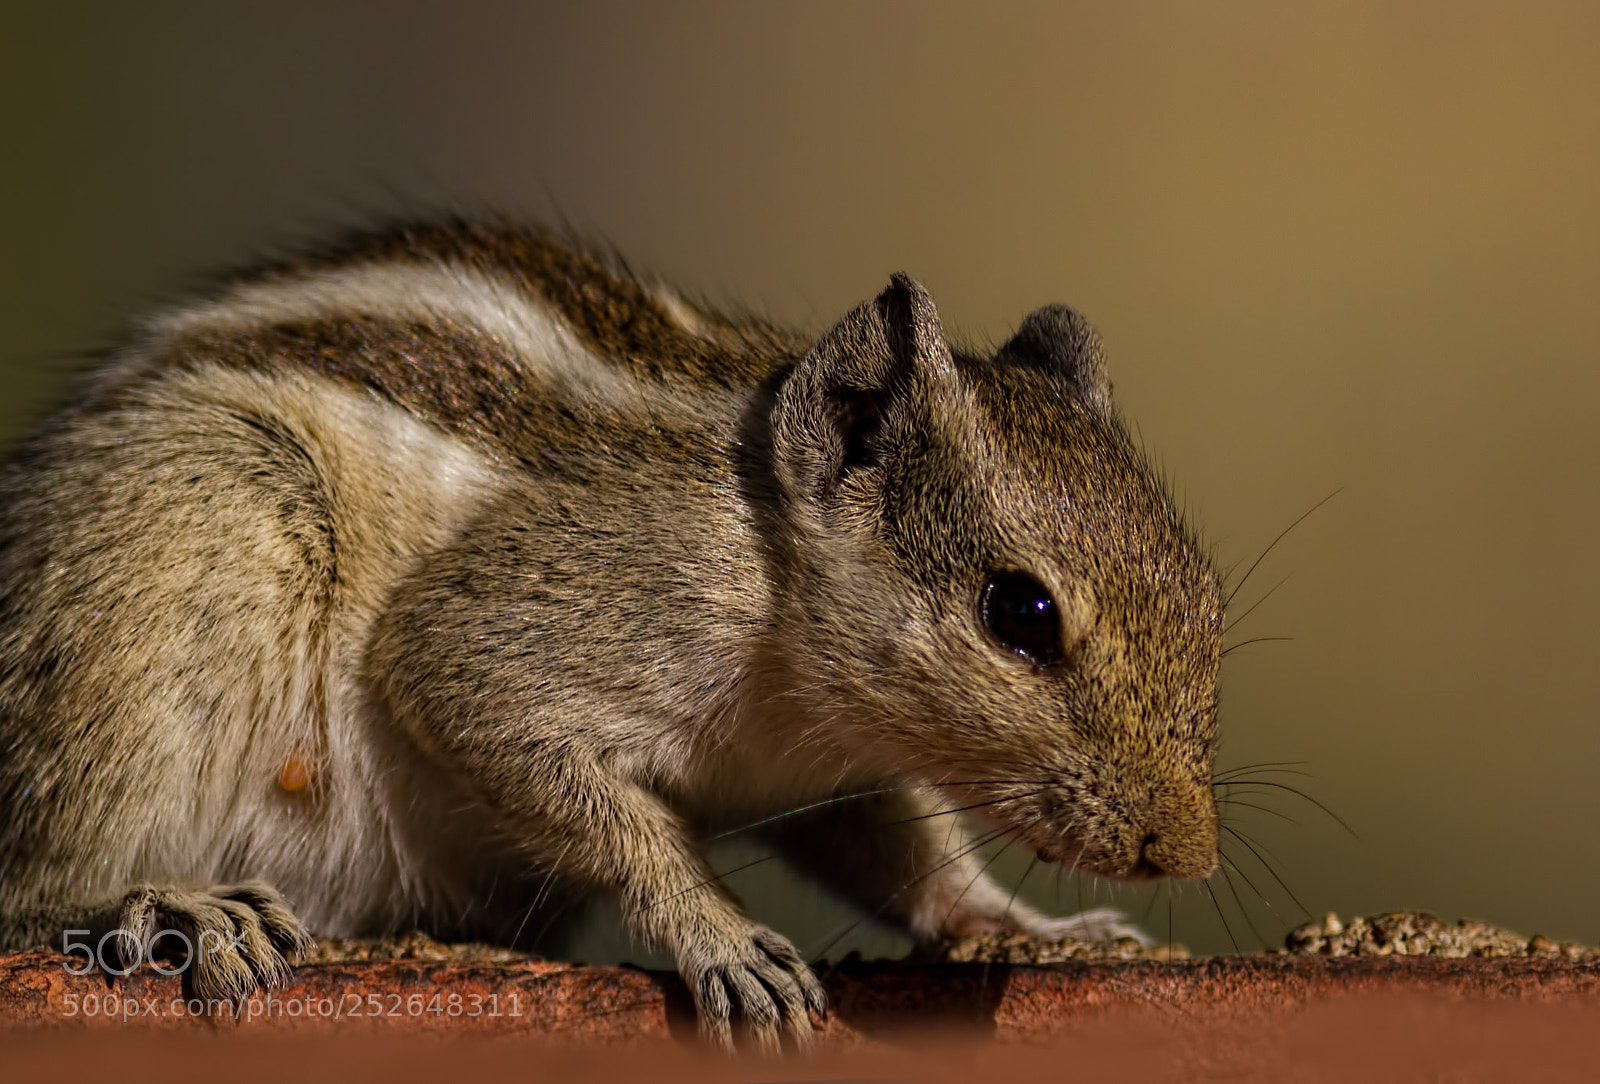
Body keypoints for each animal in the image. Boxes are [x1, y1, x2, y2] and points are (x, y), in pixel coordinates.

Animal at [0, 221, 1223, 1049]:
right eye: (1020, 614)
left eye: (1210, 602)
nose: (1188, 853)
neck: (770, 560)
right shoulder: (507, 636)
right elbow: (571, 778)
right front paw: (720, 936)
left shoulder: (835, 771)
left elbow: (906, 853)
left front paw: (1027, 926)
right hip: (208, 515)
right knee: (26, 885)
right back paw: (161, 902)